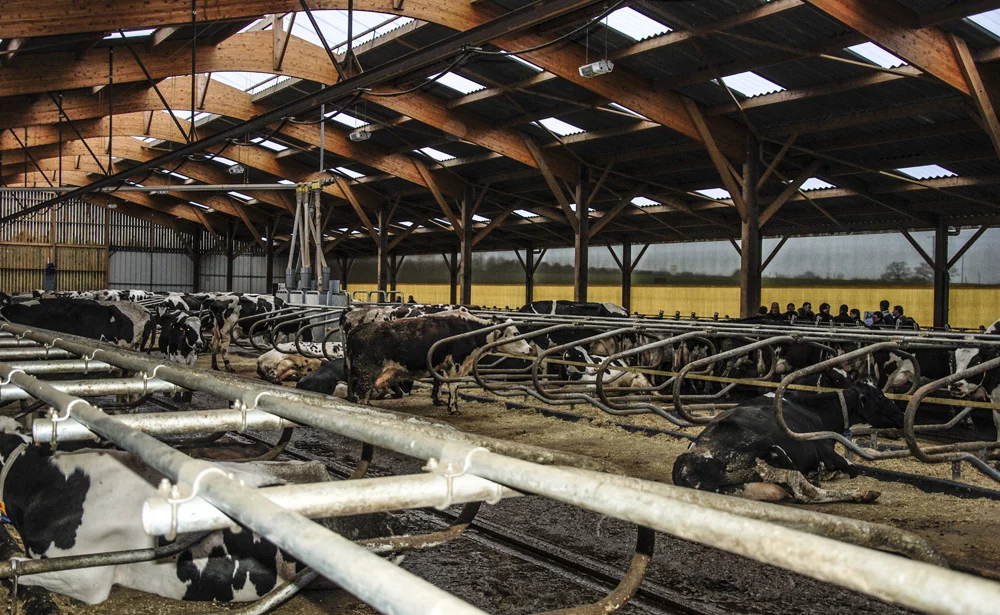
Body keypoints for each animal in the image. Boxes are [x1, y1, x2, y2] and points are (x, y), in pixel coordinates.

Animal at [346, 312, 536, 414]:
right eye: (515, 333)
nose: (530, 349)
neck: (470, 331)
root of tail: (358, 329)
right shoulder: (457, 364)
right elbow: (453, 386)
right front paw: (453, 409)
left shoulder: (446, 366)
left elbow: (443, 385)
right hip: (367, 373)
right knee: (362, 395)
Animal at [672, 376, 908, 506]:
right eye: (881, 396)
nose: (902, 416)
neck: (815, 411)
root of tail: (685, 465)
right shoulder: (827, 452)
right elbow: (852, 468)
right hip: (774, 455)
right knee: (805, 492)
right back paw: (862, 493)